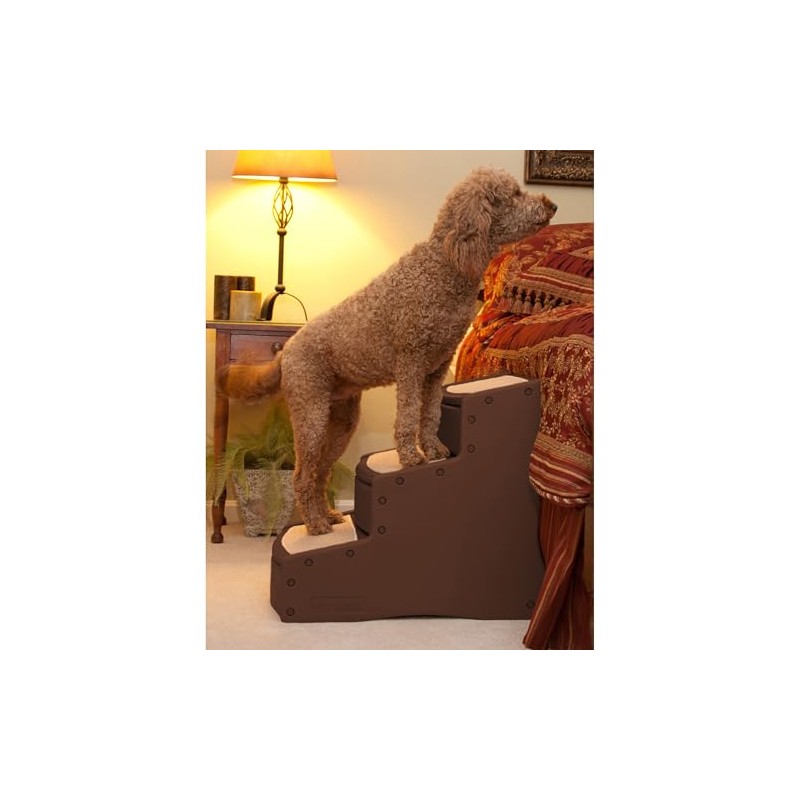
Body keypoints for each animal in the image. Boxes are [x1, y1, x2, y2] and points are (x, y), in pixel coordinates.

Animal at [218, 166, 557, 535]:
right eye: (514, 194)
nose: (551, 204)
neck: (444, 265)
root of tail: (286, 352)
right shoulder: (411, 361)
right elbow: (408, 415)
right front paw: (410, 456)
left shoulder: (437, 368)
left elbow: (430, 414)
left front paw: (434, 448)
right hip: (311, 414)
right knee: (301, 475)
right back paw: (315, 526)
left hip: (341, 422)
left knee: (320, 472)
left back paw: (328, 516)